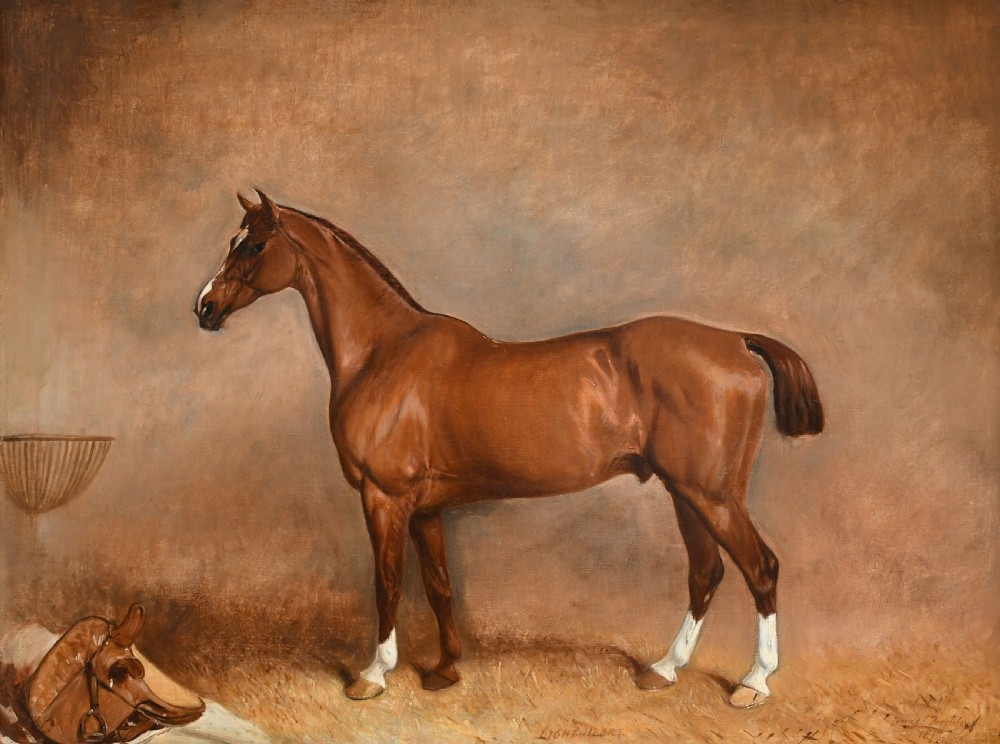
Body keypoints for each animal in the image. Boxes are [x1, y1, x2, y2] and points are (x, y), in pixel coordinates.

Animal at [194, 189, 824, 708]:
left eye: (254, 244)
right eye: (232, 241)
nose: (204, 308)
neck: (383, 353)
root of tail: (736, 341)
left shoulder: (385, 498)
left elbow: (388, 583)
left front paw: (373, 675)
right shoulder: (424, 509)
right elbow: (439, 585)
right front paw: (446, 670)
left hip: (711, 495)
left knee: (761, 569)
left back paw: (753, 683)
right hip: (686, 494)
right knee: (705, 572)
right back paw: (663, 669)